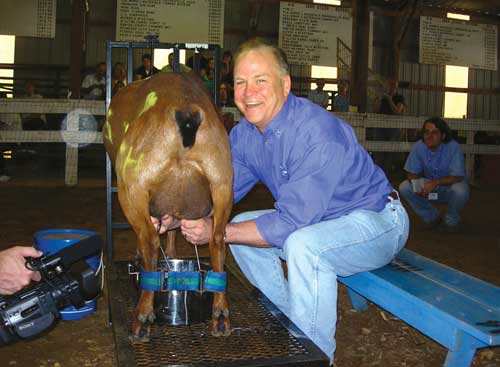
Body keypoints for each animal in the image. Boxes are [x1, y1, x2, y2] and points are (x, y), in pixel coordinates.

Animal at [103, 72, 234, 342]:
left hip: (132, 188)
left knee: (150, 241)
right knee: (217, 241)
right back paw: (220, 316)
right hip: (222, 184)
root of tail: (186, 110)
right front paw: (172, 253)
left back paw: (142, 319)